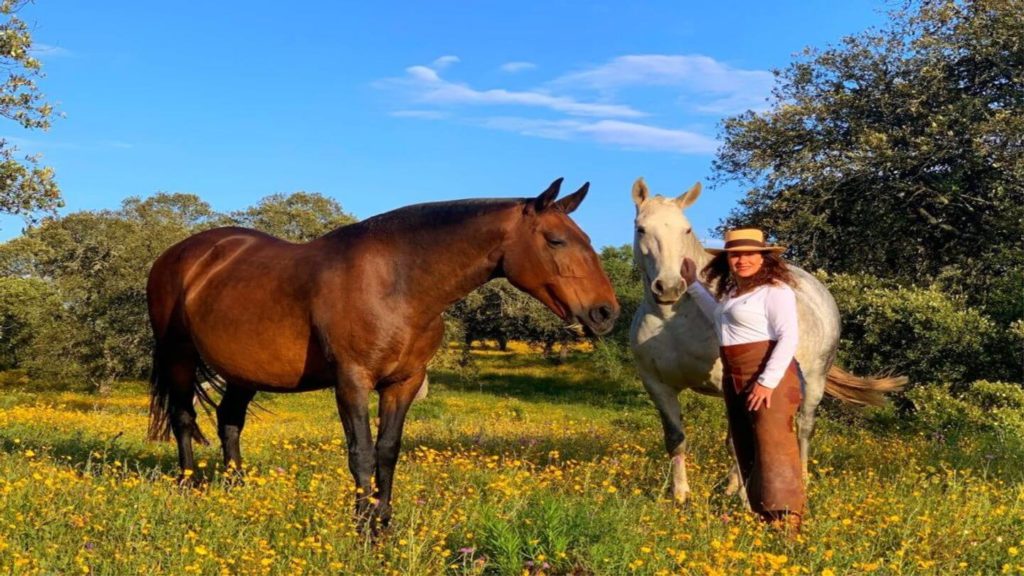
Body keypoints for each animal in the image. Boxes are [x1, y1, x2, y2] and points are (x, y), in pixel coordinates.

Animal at [146, 177, 620, 531]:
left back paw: (238, 490)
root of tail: (181, 254)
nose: (605, 312)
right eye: (556, 241)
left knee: (229, 422)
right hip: (178, 356)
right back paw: (188, 486)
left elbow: (388, 451)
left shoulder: (403, 383)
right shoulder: (352, 381)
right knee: (184, 418)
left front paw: (384, 523)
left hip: (244, 372)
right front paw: (363, 529)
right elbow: (362, 452)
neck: (398, 283)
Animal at [628, 178, 905, 503]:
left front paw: (745, 501)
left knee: (803, 428)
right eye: (641, 229)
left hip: (814, 380)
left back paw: (799, 481)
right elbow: (676, 438)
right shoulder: (657, 386)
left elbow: (738, 441)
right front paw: (681, 495)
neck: (674, 319)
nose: (670, 287)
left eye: (686, 229)